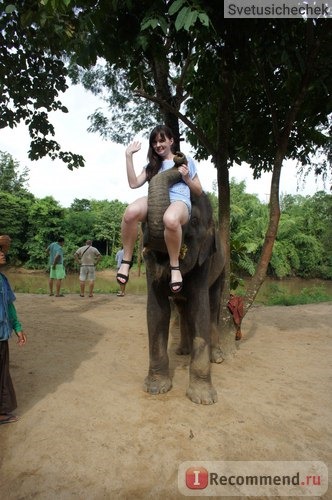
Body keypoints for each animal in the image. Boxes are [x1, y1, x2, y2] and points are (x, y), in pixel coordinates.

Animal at [141, 154, 224, 404]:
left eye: (194, 222)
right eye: (143, 220)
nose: (180, 158)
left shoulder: (205, 261)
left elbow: (200, 309)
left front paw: (203, 399)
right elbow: (157, 310)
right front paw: (156, 388)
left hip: (223, 270)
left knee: (213, 306)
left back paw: (217, 357)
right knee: (181, 307)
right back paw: (182, 351)